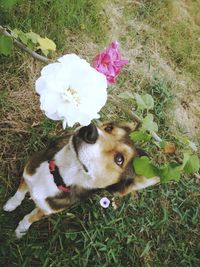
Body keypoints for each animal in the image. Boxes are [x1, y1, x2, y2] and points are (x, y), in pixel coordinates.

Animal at [2, 122, 159, 239]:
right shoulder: (28, 173)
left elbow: (30, 218)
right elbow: (19, 194)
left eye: (119, 159)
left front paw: (21, 230)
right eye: (109, 128)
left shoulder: (47, 210)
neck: (58, 175)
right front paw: (11, 204)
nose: (90, 130)